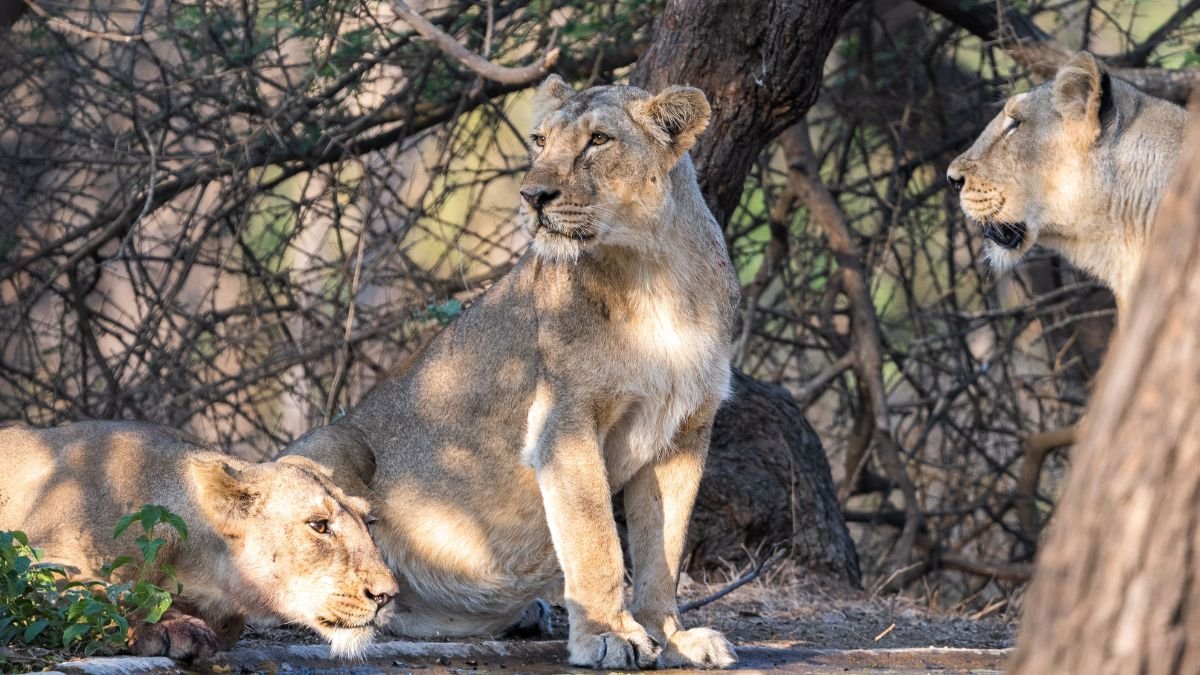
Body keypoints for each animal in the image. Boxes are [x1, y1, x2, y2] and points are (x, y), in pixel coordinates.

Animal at [0, 420, 398, 660]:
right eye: (319, 525)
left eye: (368, 521)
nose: (387, 596)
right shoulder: (33, 563)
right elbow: (105, 597)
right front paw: (171, 627)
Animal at [287, 76, 740, 669]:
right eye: (540, 141)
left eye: (598, 140)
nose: (533, 196)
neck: (654, 272)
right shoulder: (564, 420)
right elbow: (596, 539)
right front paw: (610, 636)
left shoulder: (686, 430)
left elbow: (663, 547)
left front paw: (671, 637)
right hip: (326, 450)